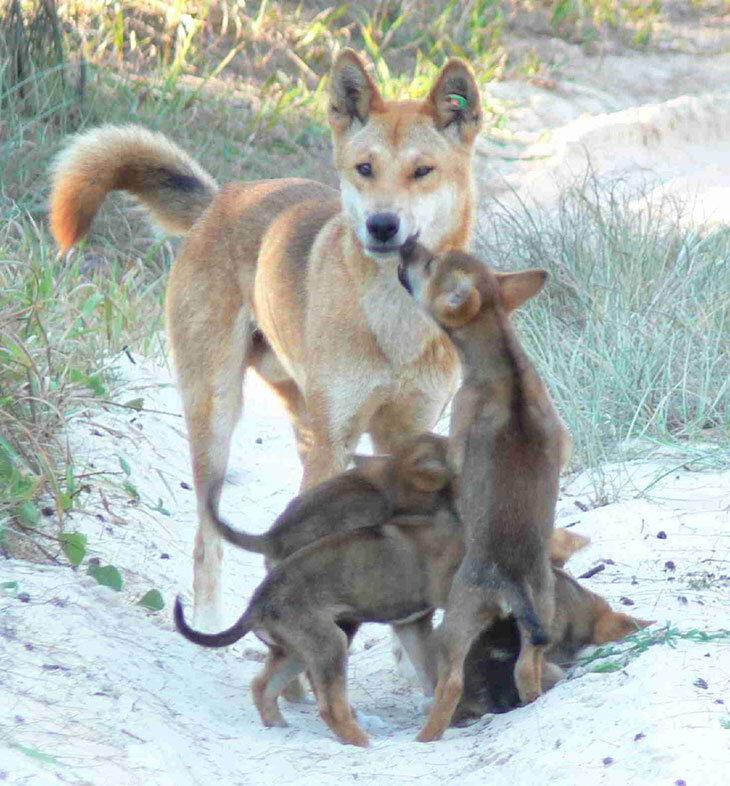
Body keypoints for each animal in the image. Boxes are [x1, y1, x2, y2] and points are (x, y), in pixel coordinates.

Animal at [49, 47, 484, 632]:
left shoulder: (404, 435)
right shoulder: (335, 439)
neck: (393, 322)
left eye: (422, 171)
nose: (382, 225)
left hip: (302, 419)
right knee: (208, 538)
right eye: (365, 168)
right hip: (218, 413)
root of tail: (222, 200)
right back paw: (211, 621)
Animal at [396, 240, 564, 740]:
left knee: (449, 684)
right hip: (543, 609)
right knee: (526, 672)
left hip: (457, 621)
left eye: (429, 263)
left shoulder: (456, 434)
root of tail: (510, 581)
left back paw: (426, 737)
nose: (407, 242)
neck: (504, 363)